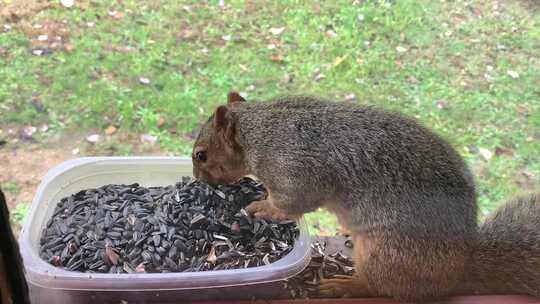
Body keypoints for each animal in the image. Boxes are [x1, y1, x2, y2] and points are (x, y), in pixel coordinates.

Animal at [192, 92, 536, 304]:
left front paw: (263, 206)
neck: (260, 128)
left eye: (202, 155)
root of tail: (459, 270)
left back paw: (344, 285)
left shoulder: (295, 171)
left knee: (382, 287)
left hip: (387, 253)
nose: (198, 179)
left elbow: (292, 204)